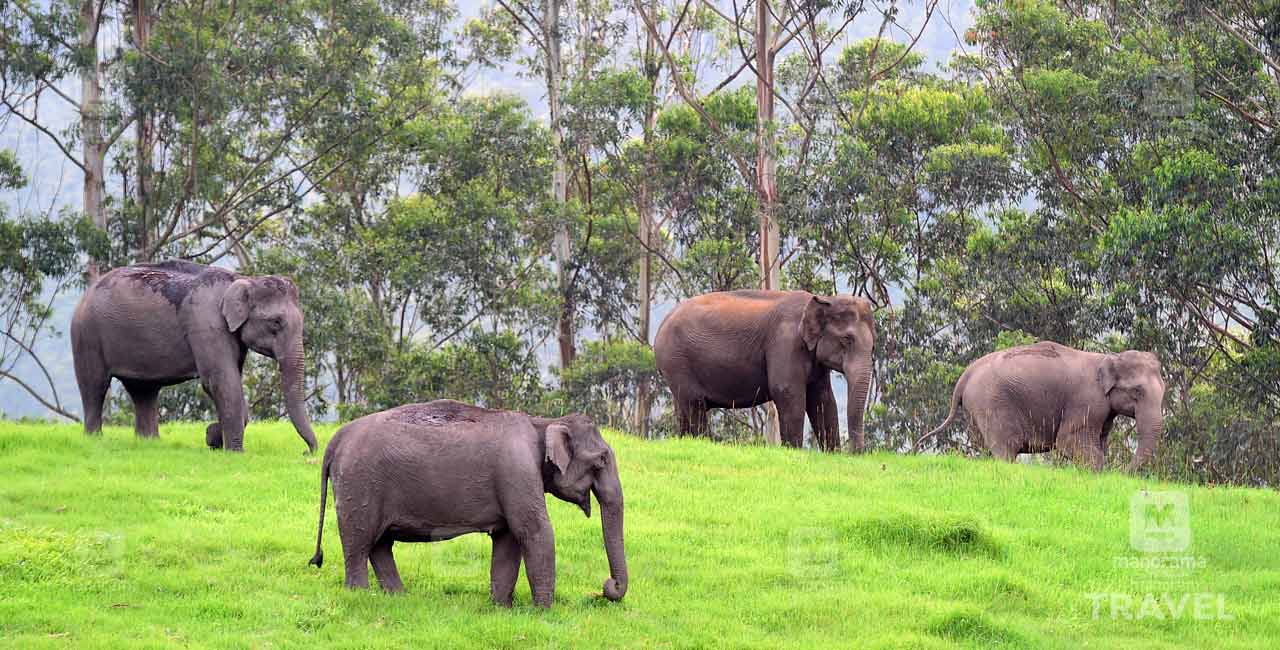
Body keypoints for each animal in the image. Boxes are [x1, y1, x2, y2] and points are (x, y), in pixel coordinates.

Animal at [71, 258, 318, 452]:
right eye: (275, 322)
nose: (307, 452)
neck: (242, 279)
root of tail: (86, 293)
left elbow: (229, 381)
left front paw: (213, 437)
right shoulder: (206, 324)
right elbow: (220, 381)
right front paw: (231, 450)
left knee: (144, 391)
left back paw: (149, 443)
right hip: (86, 336)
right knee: (95, 385)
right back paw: (94, 439)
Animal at [309, 396, 629, 609]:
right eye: (601, 460)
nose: (607, 587)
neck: (542, 422)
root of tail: (335, 441)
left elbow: (508, 539)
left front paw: (501, 609)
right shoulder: (518, 471)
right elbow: (534, 531)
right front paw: (543, 612)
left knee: (379, 544)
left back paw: (398, 597)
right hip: (359, 484)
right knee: (359, 541)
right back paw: (360, 595)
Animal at [655, 290, 875, 450]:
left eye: (874, 343)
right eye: (847, 339)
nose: (856, 453)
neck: (824, 299)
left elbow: (823, 400)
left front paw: (832, 454)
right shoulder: (785, 344)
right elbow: (788, 392)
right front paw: (793, 451)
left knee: (683, 409)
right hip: (677, 361)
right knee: (695, 405)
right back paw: (701, 443)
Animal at [916, 340, 1167, 473]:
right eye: (1137, 392)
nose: (1122, 472)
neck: (1108, 357)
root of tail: (966, 375)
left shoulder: (1103, 410)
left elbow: (1099, 441)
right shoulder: (1086, 401)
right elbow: (1068, 440)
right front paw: (1096, 472)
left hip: (974, 410)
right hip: (991, 404)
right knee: (1005, 448)